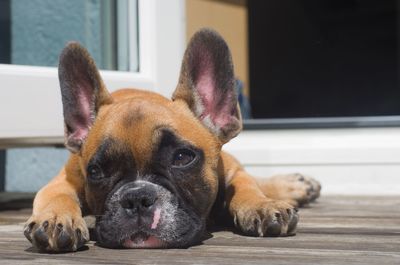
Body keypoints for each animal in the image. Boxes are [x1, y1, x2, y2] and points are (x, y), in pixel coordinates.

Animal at [23, 28, 320, 252]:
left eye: (182, 158)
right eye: (96, 172)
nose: (137, 197)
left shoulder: (232, 171)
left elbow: (247, 187)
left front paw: (262, 205)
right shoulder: (64, 179)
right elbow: (56, 196)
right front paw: (56, 217)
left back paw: (293, 186)